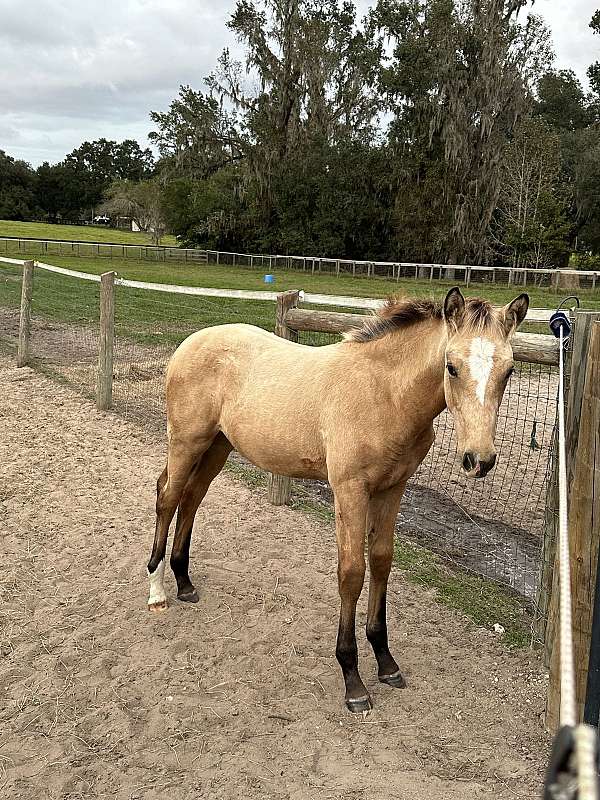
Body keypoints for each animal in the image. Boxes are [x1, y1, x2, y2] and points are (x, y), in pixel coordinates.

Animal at [148, 288, 528, 712]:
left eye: (509, 371)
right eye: (451, 366)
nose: (479, 460)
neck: (384, 395)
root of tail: (191, 342)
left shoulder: (393, 488)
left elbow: (381, 562)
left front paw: (386, 662)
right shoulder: (349, 489)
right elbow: (351, 573)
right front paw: (353, 679)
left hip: (218, 446)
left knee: (192, 497)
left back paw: (184, 582)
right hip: (186, 441)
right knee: (168, 495)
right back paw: (158, 591)